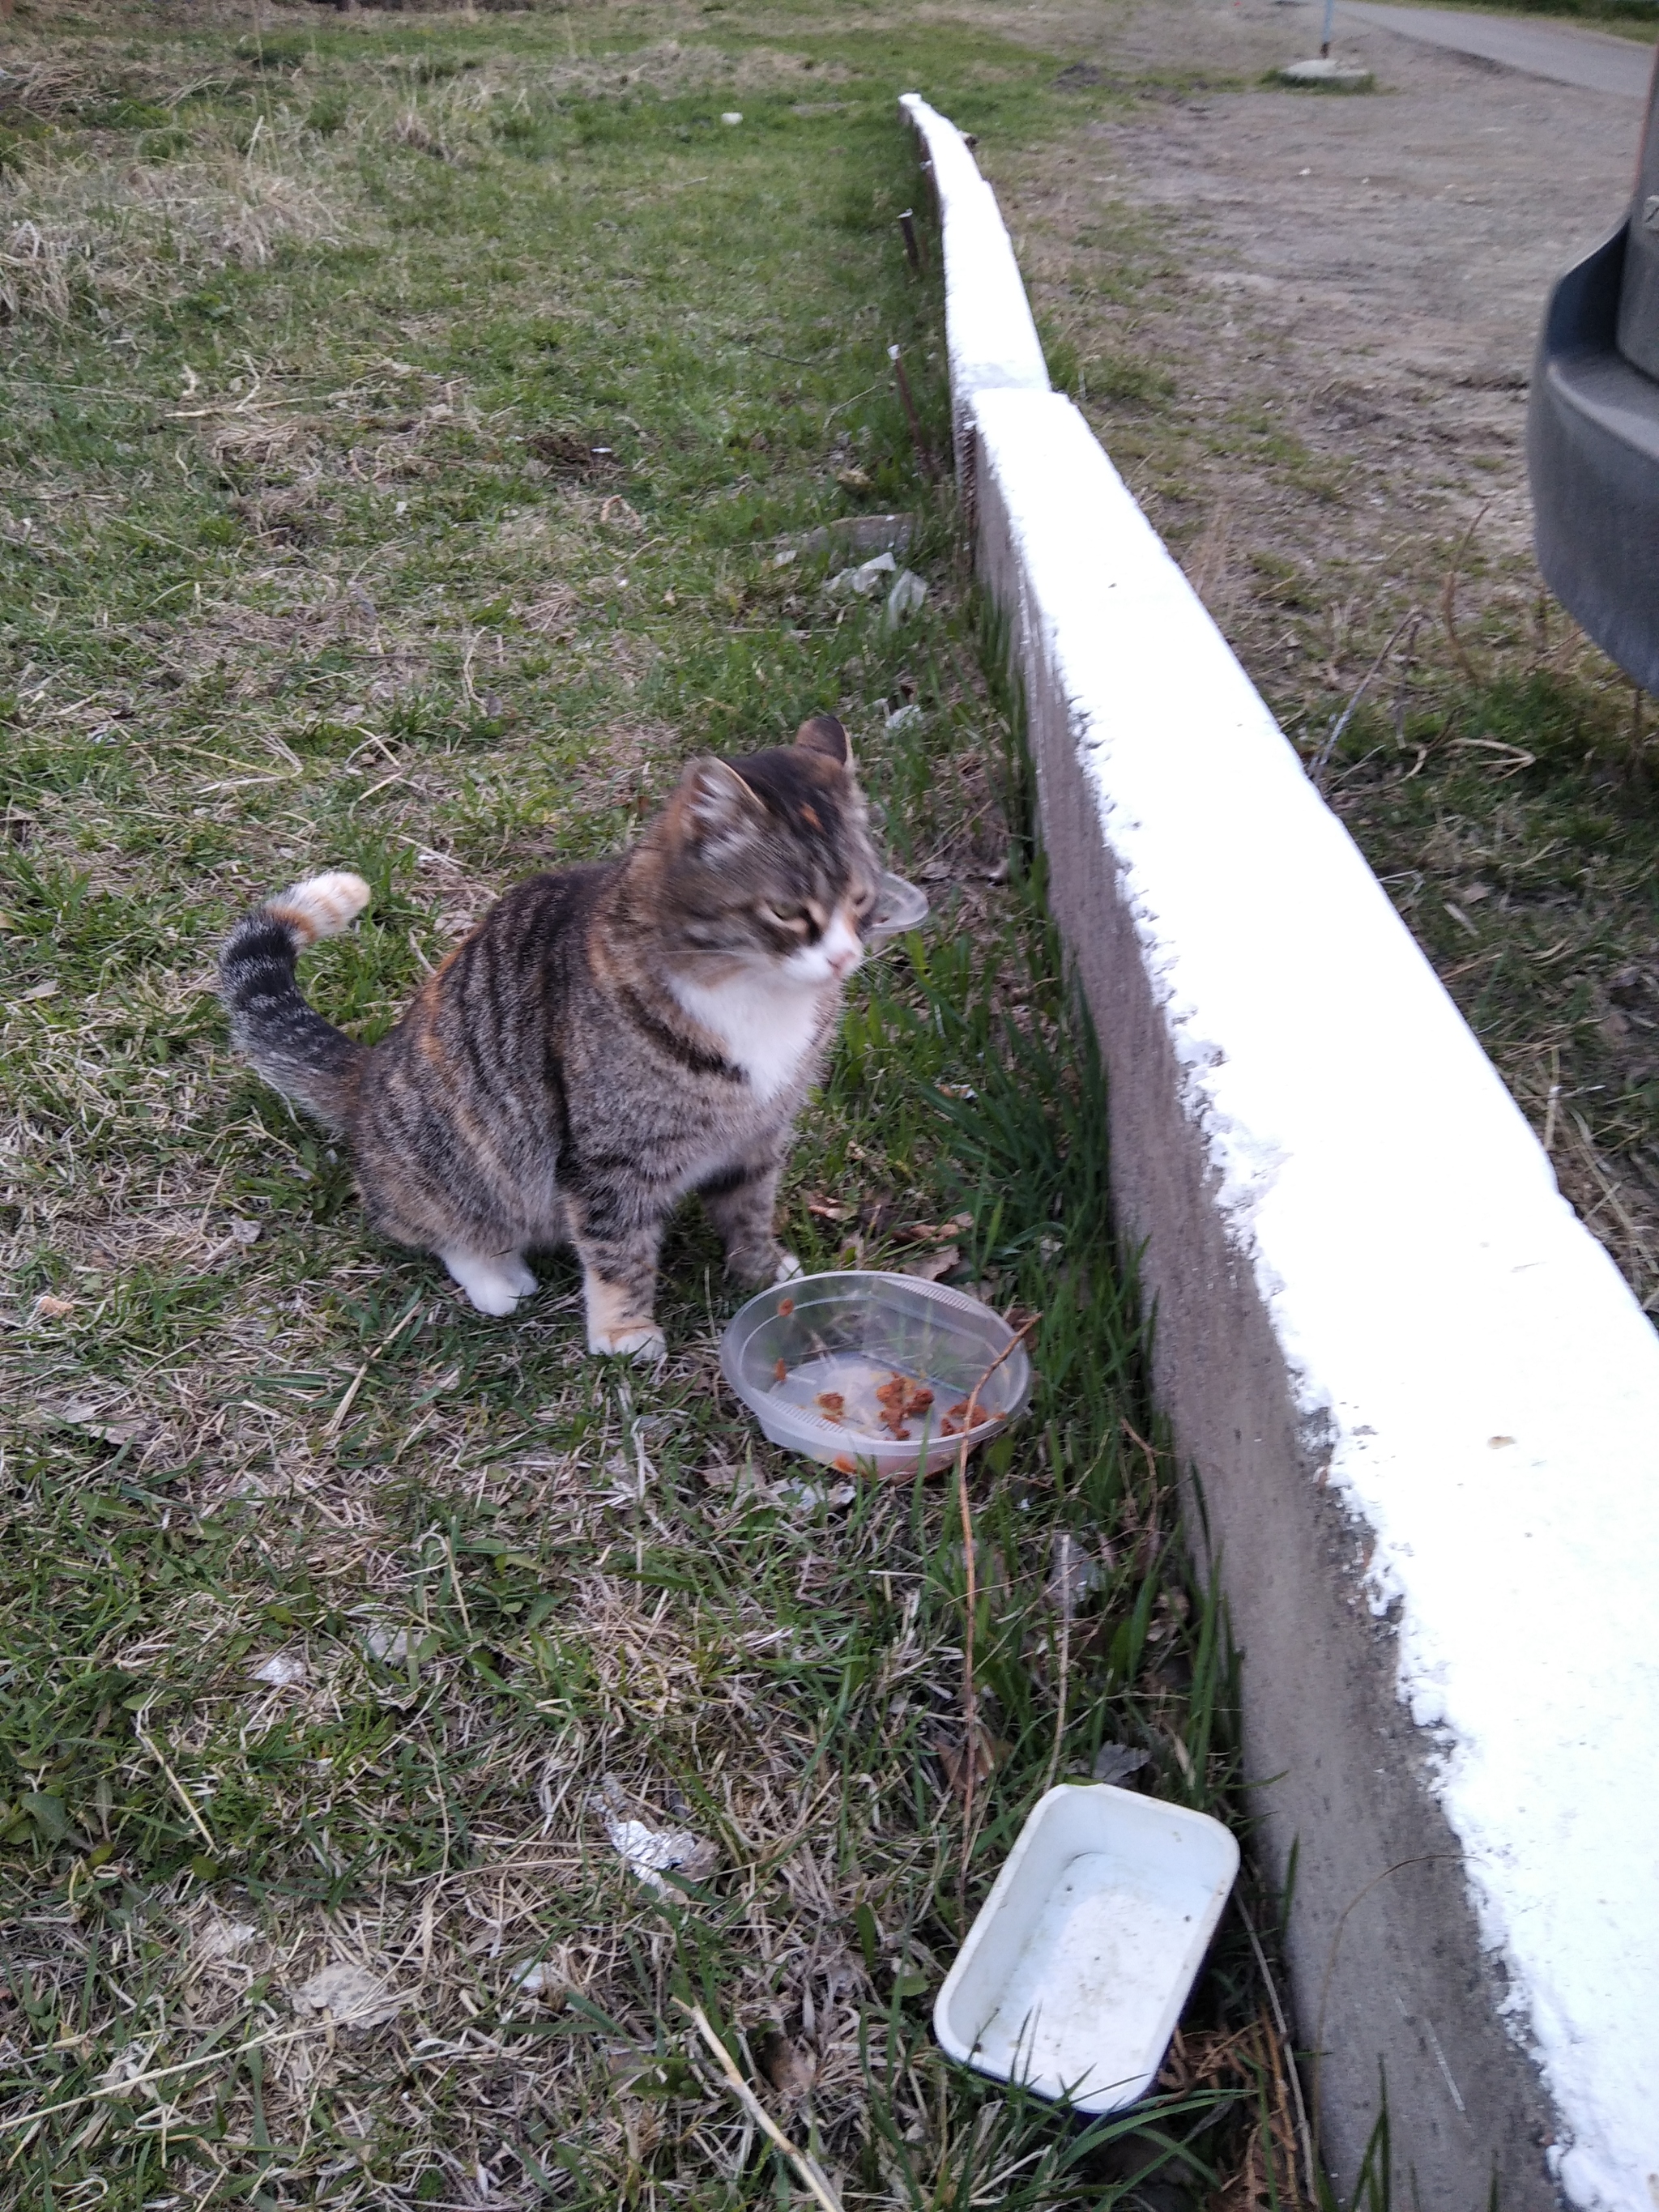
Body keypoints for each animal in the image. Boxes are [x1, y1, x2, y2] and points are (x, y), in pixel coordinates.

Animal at [221, 716, 885, 1353]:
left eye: (861, 900)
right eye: (786, 912)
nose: (843, 958)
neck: (755, 993)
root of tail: (369, 1073)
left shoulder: (758, 1134)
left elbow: (749, 1207)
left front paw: (763, 1271)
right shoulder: (611, 1158)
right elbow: (619, 1250)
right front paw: (623, 1331)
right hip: (460, 1165)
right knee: (428, 1224)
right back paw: (496, 1277)